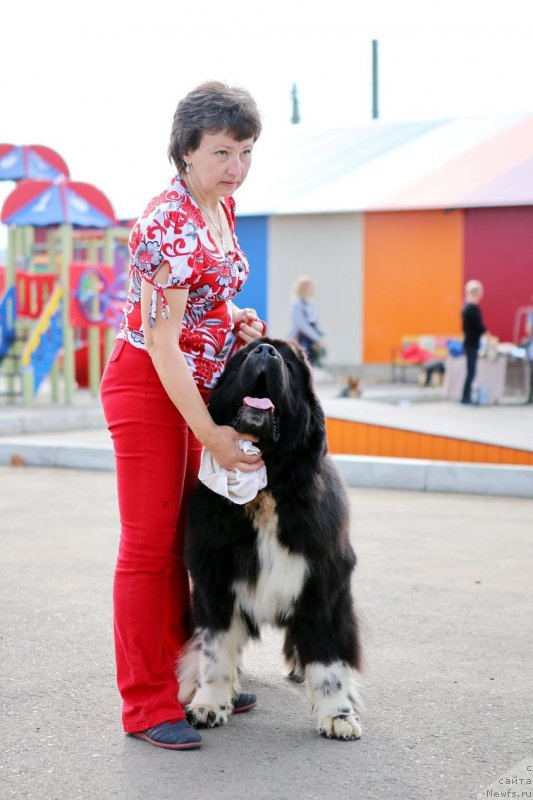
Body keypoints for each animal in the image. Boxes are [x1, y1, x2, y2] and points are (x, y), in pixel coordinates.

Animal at [178, 336, 362, 736]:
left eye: (290, 365)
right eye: (247, 355)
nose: (265, 351)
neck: (267, 487)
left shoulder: (323, 583)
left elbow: (328, 659)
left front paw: (338, 714)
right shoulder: (215, 581)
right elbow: (215, 652)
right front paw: (209, 704)